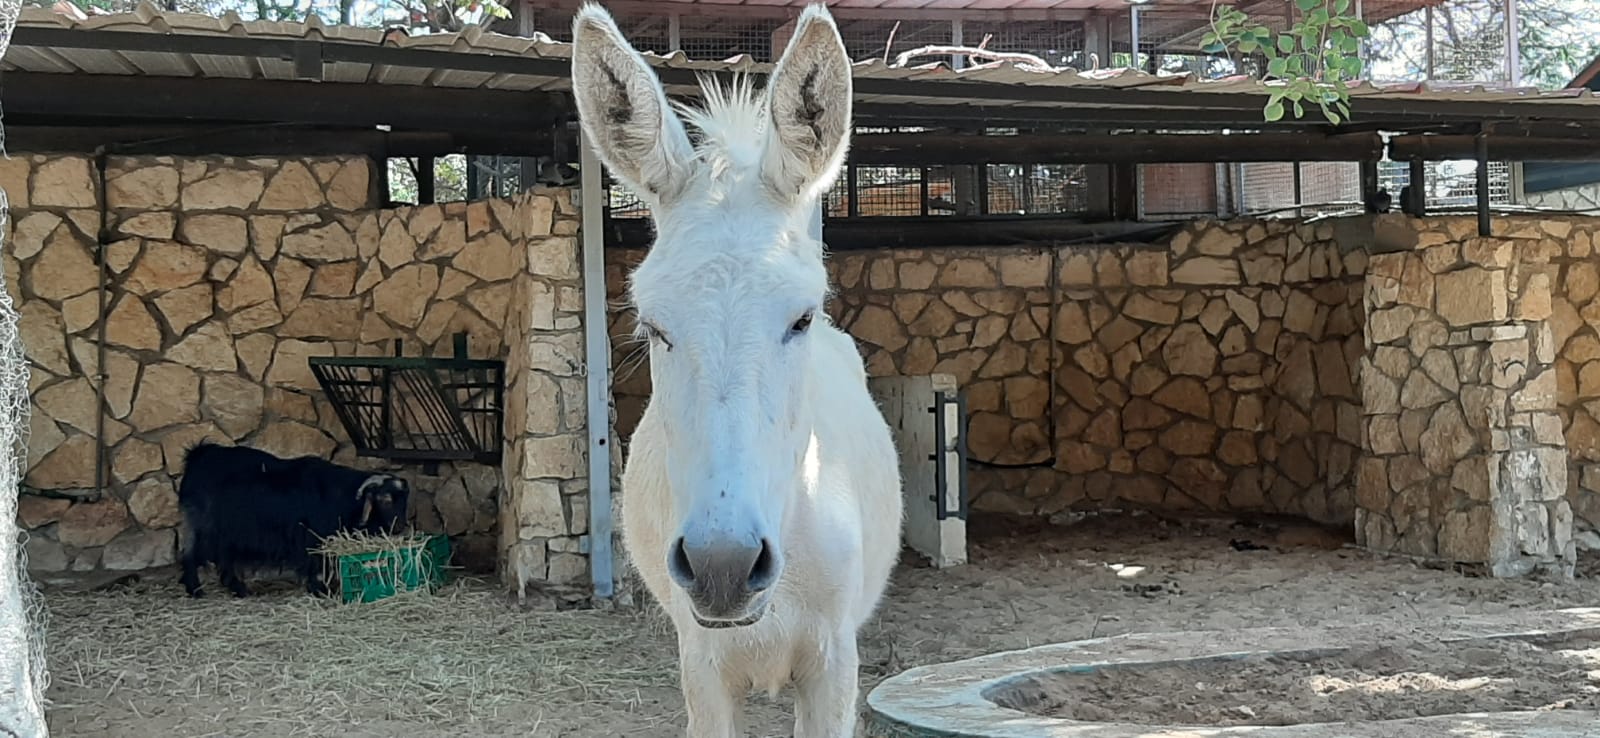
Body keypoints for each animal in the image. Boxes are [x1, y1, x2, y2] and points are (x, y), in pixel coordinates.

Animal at [176, 438, 412, 595]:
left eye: (404, 499)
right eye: (385, 499)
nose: (400, 526)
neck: (341, 497)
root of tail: (198, 456)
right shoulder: (311, 539)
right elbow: (314, 565)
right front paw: (320, 589)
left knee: (221, 558)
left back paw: (238, 589)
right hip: (207, 527)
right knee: (192, 554)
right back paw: (195, 589)